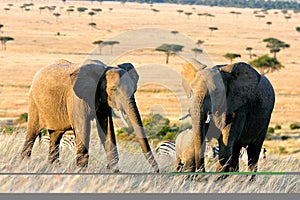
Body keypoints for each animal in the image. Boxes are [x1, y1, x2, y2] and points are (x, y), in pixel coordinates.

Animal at [20, 58, 159, 173]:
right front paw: (80, 171)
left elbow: (107, 129)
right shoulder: (77, 98)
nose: (156, 171)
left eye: (134, 90)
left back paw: (54, 166)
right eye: (114, 89)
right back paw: (24, 163)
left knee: (56, 136)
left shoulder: (103, 100)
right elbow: (83, 128)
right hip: (34, 103)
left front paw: (113, 171)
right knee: (32, 132)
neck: (105, 69)